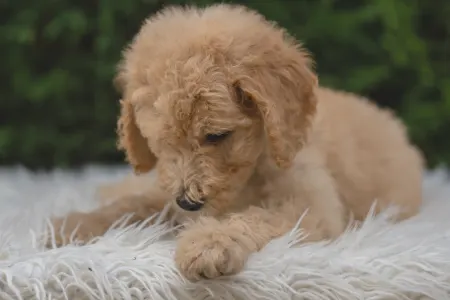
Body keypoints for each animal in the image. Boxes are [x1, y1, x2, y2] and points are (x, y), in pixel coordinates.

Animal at [50, 4, 426, 282]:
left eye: (217, 136)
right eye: (162, 144)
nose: (188, 203)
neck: (257, 162)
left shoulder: (310, 205)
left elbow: (255, 217)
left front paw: (207, 244)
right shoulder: (167, 192)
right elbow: (132, 205)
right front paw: (73, 225)